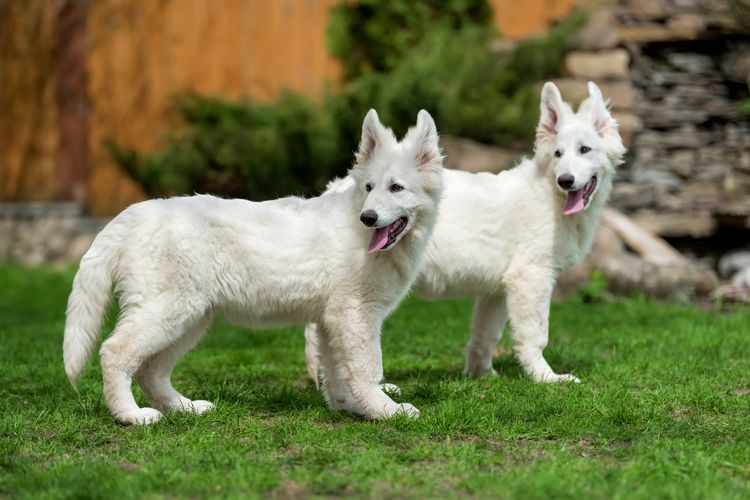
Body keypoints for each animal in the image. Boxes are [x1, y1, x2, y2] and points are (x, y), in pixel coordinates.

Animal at [64, 109, 444, 426]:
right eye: (368, 188)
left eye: (396, 188)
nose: (369, 217)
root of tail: (135, 213)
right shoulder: (354, 315)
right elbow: (366, 370)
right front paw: (385, 410)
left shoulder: (330, 320)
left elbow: (337, 372)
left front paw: (349, 407)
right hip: (169, 310)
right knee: (115, 353)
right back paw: (131, 415)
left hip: (191, 317)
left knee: (151, 372)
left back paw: (184, 408)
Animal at [306, 81, 628, 386]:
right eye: (558, 154)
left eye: (584, 150)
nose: (566, 180)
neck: (551, 195)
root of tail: (337, 187)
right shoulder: (531, 277)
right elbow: (535, 335)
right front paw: (545, 378)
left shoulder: (497, 289)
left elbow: (485, 336)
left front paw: (481, 376)